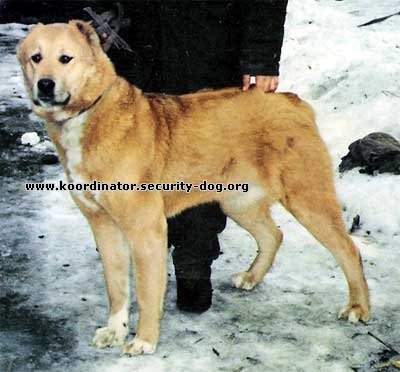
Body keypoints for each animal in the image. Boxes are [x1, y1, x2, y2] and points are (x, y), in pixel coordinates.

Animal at [17, 19, 370, 354]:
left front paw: (144, 340)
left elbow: (146, 291)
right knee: (274, 235)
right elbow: (116, 289)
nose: (45, 84)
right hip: (238, 202)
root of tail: (292, 101)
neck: (89, 115)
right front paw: (115, 331)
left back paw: (358, 306)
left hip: (308, 200)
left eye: (66, 58)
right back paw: (251, 277)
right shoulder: (104, 227)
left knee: (349, 249)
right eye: (36, 57)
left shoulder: (146, 229)